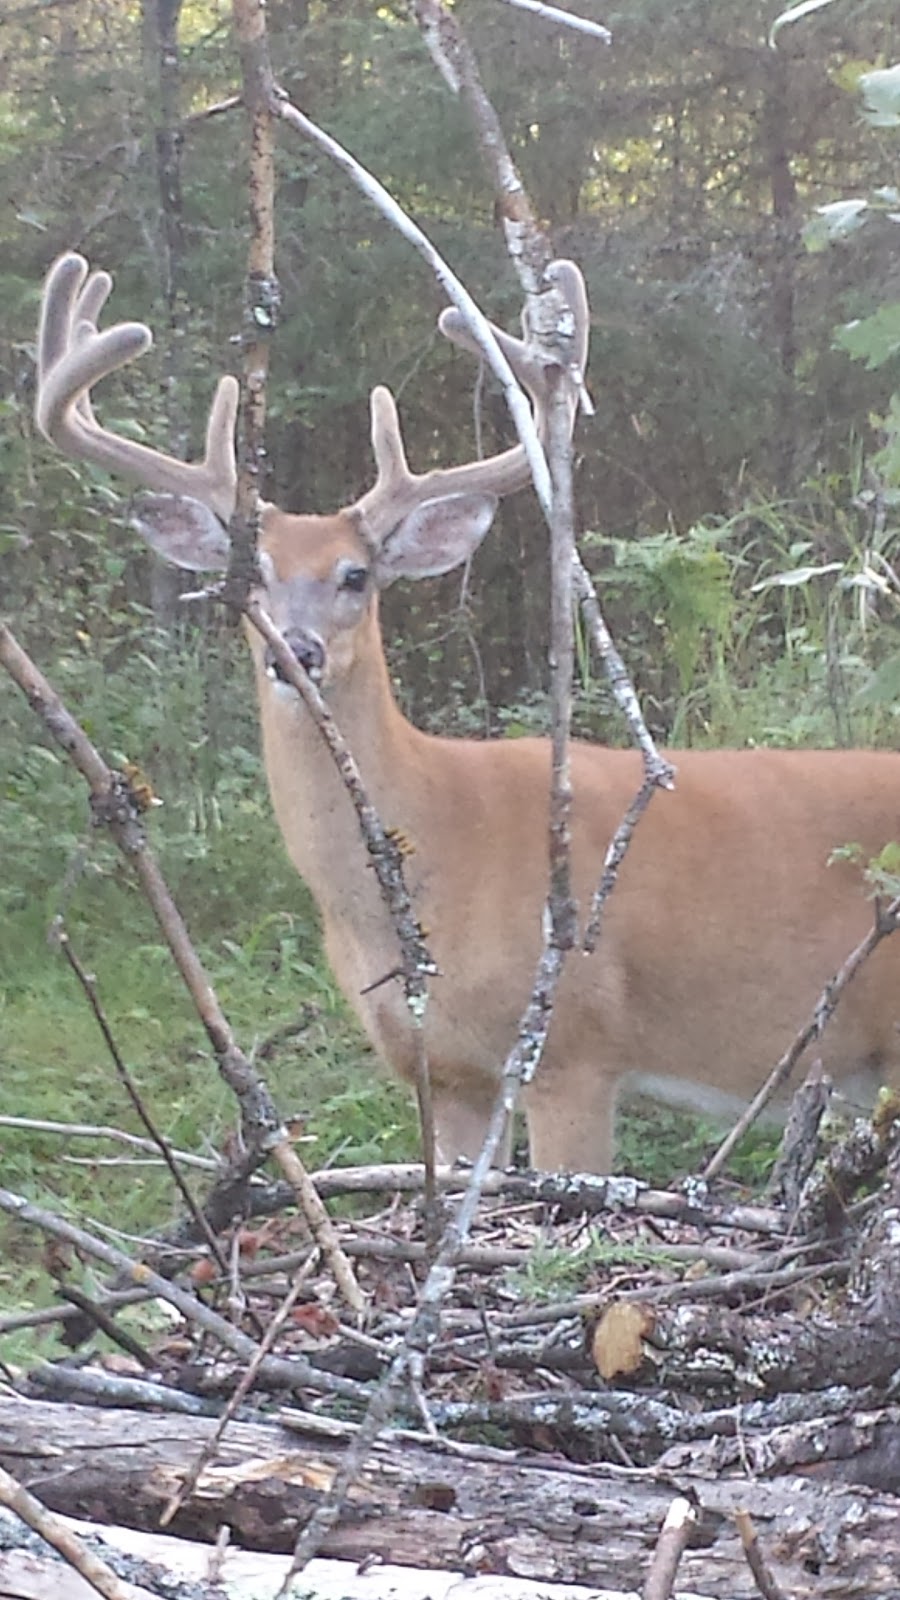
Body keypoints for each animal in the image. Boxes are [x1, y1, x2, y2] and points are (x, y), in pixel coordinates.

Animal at [38, 252, 896, 1177]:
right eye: (253, 575)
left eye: (355, 575)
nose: (294, 652)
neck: (434, 848)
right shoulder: (444, 1070)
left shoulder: (573, 1046)